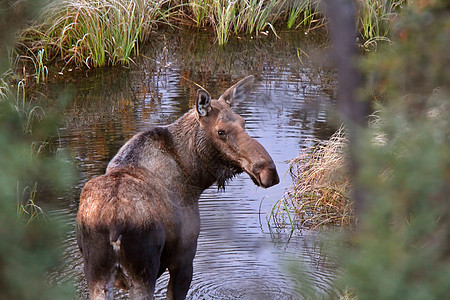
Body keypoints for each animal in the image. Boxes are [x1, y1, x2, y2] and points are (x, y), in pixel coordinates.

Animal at [76, 74, 280, 298]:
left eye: (243, 122)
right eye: (221, 131)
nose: (269, 171)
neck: (195, 176)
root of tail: (114, 225)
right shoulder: (184, 257)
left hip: (96, 273)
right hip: (143, 271)